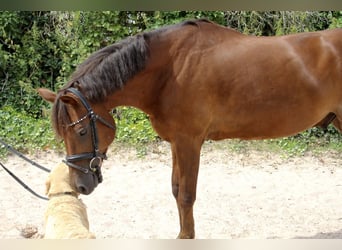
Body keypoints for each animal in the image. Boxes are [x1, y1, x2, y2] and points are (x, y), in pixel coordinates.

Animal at [38, 19, 342, 238]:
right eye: (62, 136)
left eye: (80, 132)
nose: (80, 185)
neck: (170, 71)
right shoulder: (176, 142)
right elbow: (176, 190)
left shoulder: (189, 142)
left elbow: (186, 195)